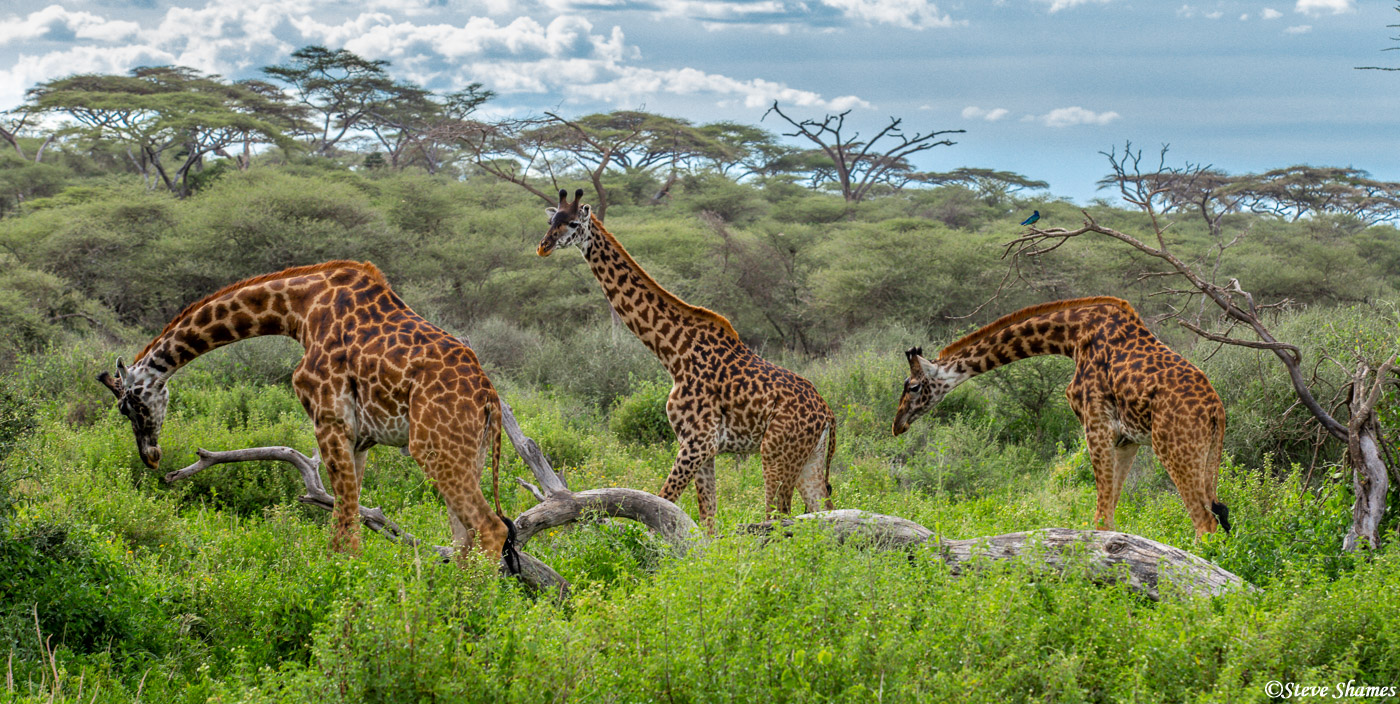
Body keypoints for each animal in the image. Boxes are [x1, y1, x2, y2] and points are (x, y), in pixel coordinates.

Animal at [95, 261, 520, 571]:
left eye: (127, 405)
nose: (150, 455)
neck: (298, 310)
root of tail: (489, 398)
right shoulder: (361, 438)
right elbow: (349, 513)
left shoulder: (329, 419)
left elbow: (345, 524)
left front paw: (339, 586)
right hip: (467, 451)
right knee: (463, 538)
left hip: (433, 447)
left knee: (490, 528)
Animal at [537, 188, 834, 529]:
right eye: (551, 221)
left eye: (573, 223)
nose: (543, 246)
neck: (674, 352)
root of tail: (828, 414)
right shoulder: (704, 448)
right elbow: (708, 522)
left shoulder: (697, 441)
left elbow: (662, 505)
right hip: (810, 459)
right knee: (822, 511)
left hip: (776, 452)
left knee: (778, 517)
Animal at [890, 295, 1232, 537]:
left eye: (913, 386)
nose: (897, 425)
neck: (1071, 335)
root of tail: (1217, 410)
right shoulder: (1127, 439)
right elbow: (1110, 513)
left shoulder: (1096, 425)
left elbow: (1101, 518)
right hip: (1205, 454)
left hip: (1173, 447)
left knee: (1205, 523)